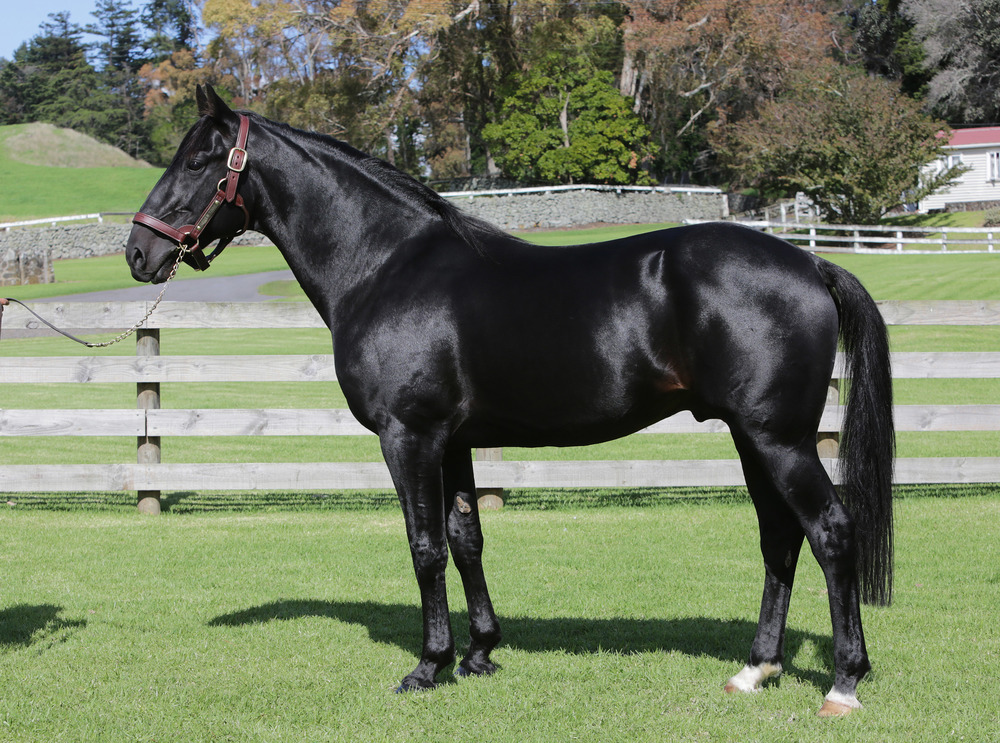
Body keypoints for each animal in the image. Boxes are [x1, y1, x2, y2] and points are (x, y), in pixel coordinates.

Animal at [126, 85, 894, 717]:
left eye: (199, 160)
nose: (138, 252)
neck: (384, 264)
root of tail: (809, 262)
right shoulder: (456, 439)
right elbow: (467, 539)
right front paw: (479, 654)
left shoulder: (410, 436)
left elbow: (426, 545)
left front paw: (428, 667)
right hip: (750, 436)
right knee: (778, 536)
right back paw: (755, 670)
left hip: (778, 438)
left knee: (830, 531)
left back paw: (843, 684)